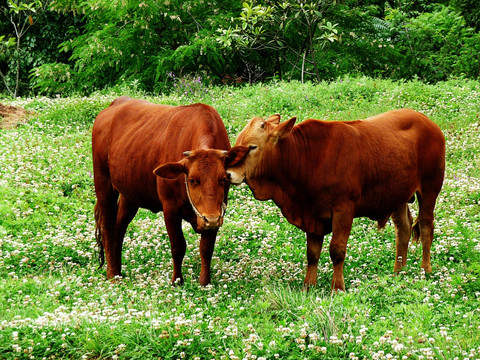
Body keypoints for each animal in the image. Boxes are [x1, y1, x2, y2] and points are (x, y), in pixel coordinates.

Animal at [91, 97, 235, 286]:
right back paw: (112, 275)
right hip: (104, 184)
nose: (210, 219)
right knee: (108, 227)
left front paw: (205, 283)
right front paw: (177, 281)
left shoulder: (218, 210)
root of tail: (116, 103)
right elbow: (178, 246)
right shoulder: (170, 208)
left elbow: (206, 248)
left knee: (119, 227)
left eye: (224, 179)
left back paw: (118, 272)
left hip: (130, 194)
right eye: (192, 180)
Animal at [227, 109, 444, 292]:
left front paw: (337, 287)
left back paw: (425, 269)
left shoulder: (343, 210)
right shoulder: (312, 215)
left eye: (252, 147)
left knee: (426, 227)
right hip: (397, 196)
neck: (308, 159)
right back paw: (399, 271)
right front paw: (308, 286)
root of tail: (427, 121)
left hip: (430, 189)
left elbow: (337, 250)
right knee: (403, 230)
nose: (228, 174)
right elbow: (312, 253)